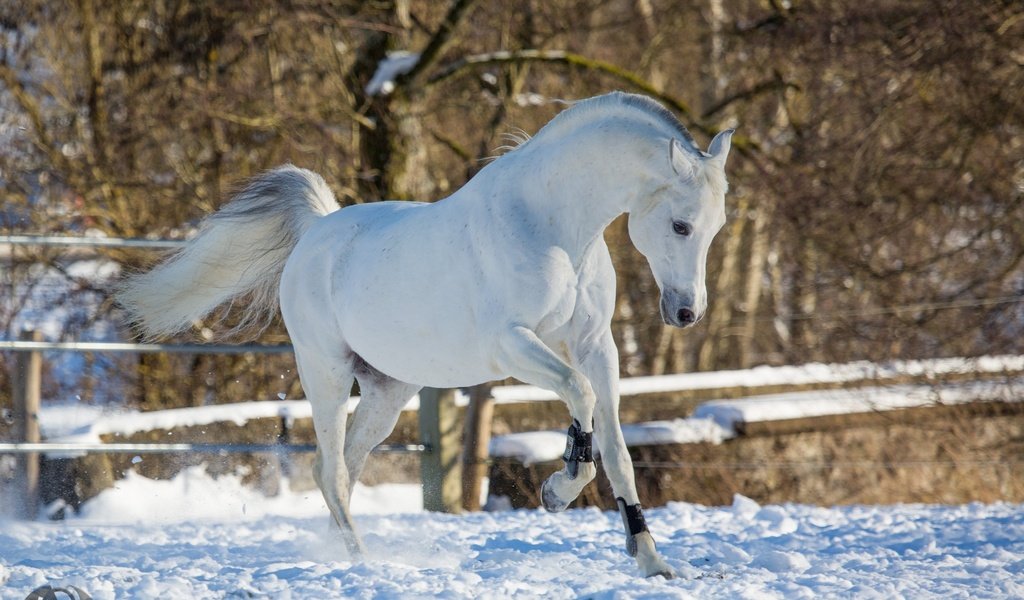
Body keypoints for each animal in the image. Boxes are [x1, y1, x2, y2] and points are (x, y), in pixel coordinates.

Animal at [116, 92, 733, 573]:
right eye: (680, 224)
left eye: (716, 225)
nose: (686, 313)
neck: (552, 227)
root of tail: (317, 230)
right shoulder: (513, 346)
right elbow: (579, 400)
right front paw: (555, 493)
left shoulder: (595, 348)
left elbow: (618, 451)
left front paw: (652, 561)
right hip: (326, 374)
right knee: (332, 469)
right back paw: (363, 563)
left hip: (388, 392)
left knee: (340, 469)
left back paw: (351, 554)